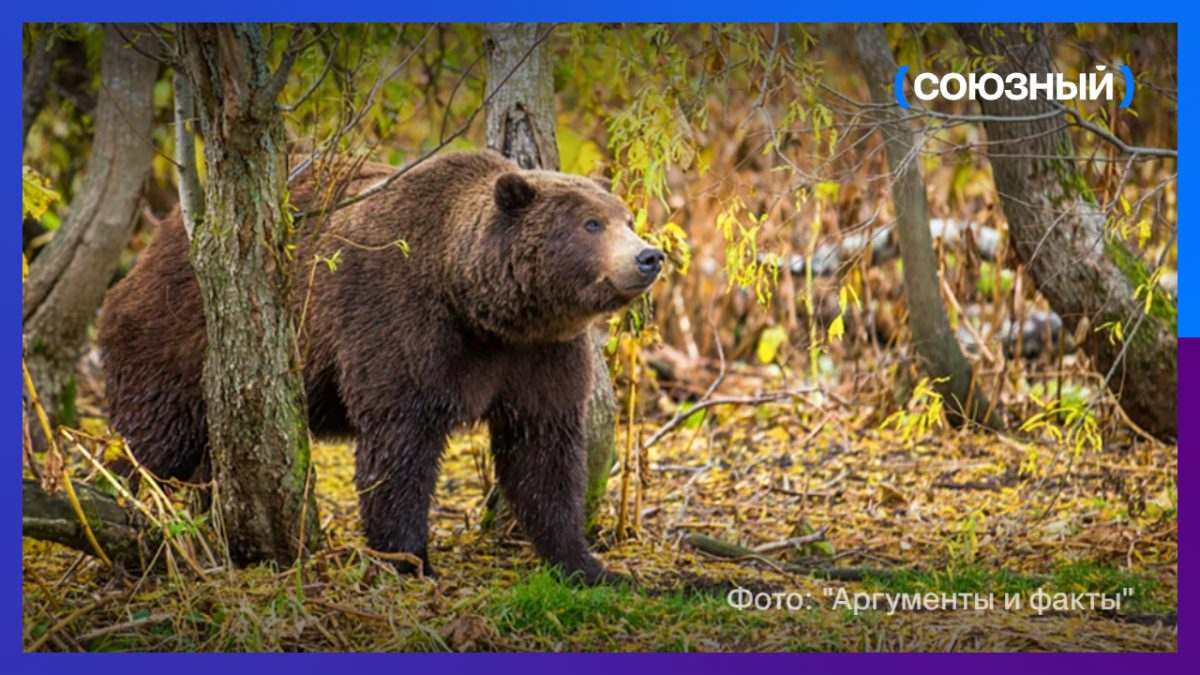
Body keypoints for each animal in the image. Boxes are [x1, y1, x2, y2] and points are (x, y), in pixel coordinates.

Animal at [97, 150, 663, 584]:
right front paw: (411, 560)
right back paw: (123, 516)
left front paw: (590, 565)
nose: (649, 256)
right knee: (155, 439)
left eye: (624, 218)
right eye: (591, 224)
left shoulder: (541, 355)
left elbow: (543, 453)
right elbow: (400, 446)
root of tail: (160, 239)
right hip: (177, 340)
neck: (481, 305)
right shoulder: (401, 323)